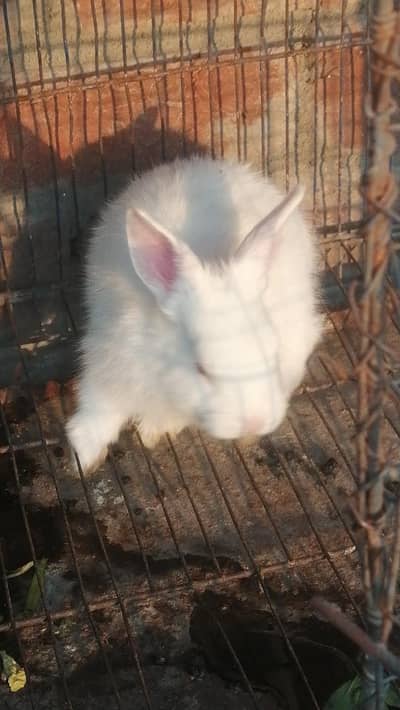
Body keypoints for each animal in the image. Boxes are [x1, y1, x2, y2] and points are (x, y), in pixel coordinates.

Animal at [66, 156, 322, 473]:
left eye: (272, 356)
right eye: (201, 369)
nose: (254, 421)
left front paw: (153, 430)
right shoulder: (111, 358)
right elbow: (99, 408)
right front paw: (84, 458)